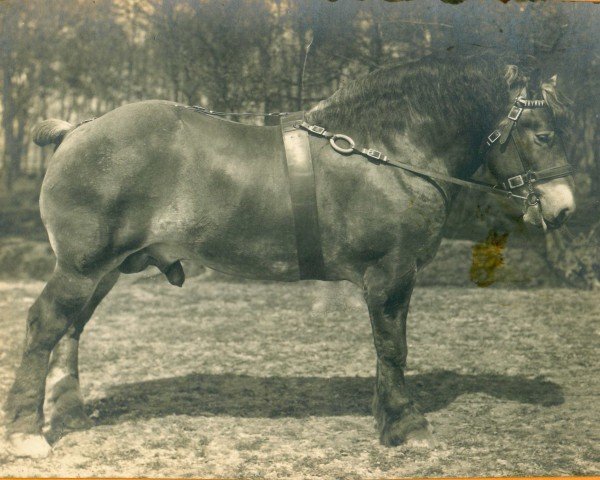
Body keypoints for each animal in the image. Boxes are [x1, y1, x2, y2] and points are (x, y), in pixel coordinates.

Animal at [5, 55, 576, 458]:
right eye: (544, 133)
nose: (565, 206)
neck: (387, 152)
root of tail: (77, 131)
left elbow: (386, 349)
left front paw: (384, 417)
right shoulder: (390, 274)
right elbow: (393, 348)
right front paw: (405, 425)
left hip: (101, 271)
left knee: (72, 330)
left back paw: (67, 414)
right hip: (81, 268)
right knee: (44, 325)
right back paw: (26, 434)